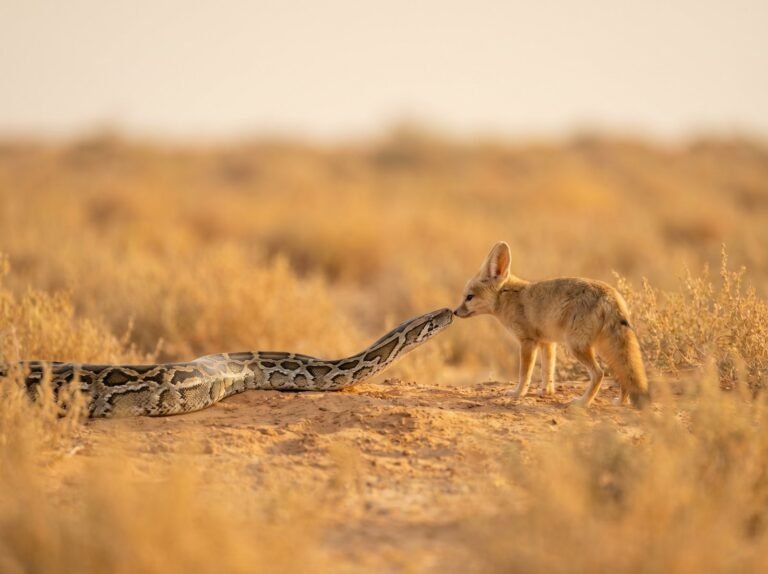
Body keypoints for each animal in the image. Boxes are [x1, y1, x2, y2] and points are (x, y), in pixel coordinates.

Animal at [454, 241, 649, 408]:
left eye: (469, 297)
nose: (455, 312)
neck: (508, 296)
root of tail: (611, 295)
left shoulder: (528, 342)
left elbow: (524, 373)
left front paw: (518, 393)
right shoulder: (547, 342)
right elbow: (548, 371)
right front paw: (545, 391)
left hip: (577, 347)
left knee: (599, 373)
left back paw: (583, 402)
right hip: (603, 347)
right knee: (623, 374)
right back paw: (621, 401)